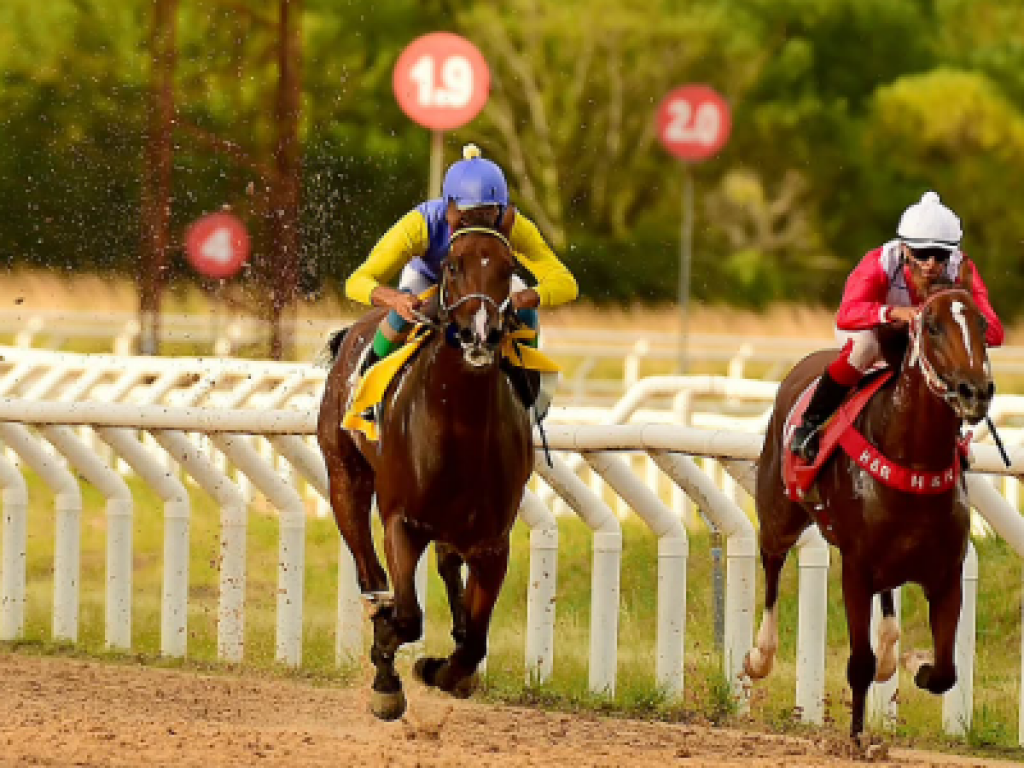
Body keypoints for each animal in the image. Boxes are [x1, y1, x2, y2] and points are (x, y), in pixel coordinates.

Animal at [315, 198, 532, 720]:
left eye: (509, 267)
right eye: (453, 264)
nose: (480, 334)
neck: (462, 428)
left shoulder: (493, 542)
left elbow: (472, 647)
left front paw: (442, 670)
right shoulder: (403, 521)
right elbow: (407, 616)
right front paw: (387, 676)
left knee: (450, 567)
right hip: (345, 477)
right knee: (369, 570)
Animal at [745, 286, 991, 741]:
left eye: (983, 325)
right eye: (932, 326)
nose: (975, 391)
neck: (915, 463)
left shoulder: (947, 574)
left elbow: (945, 671)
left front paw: (918, 665)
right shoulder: (855, 567)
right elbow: (860, 662)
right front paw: (857, 738)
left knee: (888, 597)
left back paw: (892, 650)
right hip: (778, 513)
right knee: (772, 563)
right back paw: (760, 655)